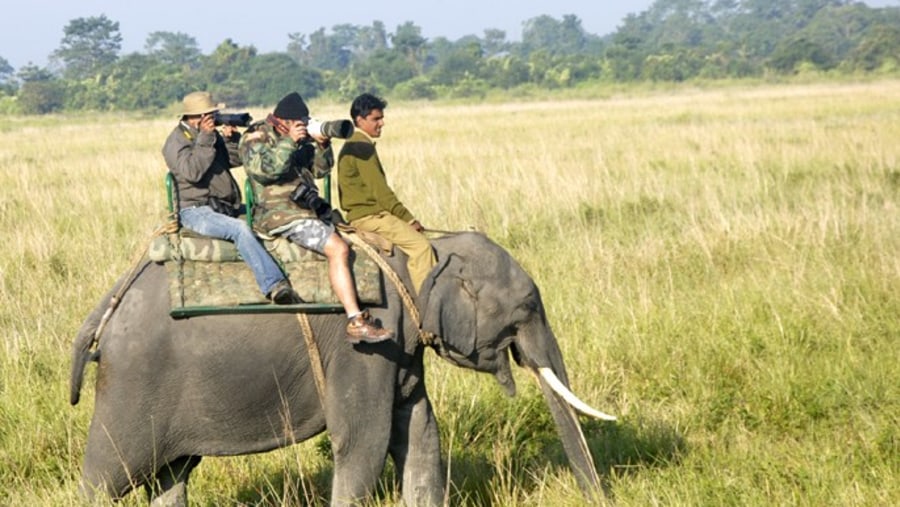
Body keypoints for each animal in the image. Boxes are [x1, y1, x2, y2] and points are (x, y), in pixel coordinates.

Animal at [72, 232, 620, 506]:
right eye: (526, 309)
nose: (600, 498)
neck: (423, 247)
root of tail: (107, 306)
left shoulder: (401, 343)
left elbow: (420, 433)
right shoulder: (366, 343)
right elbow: (363, 442)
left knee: (172, 475)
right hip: (132, 386)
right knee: (106, 479)